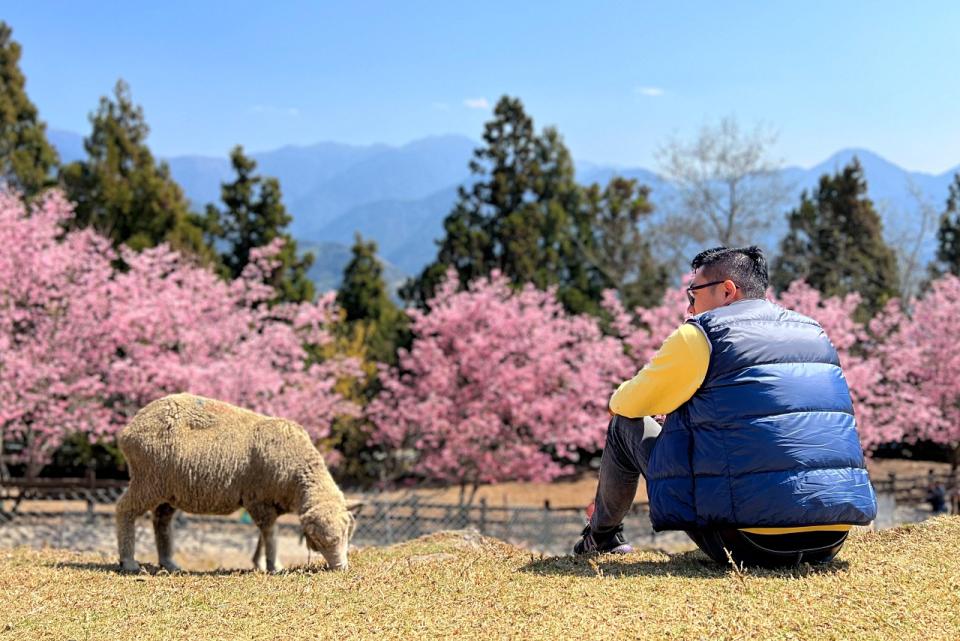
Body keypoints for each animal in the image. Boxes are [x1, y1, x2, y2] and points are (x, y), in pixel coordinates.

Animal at [116, 392, 356, 572]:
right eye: (317, 538)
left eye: (346, 532)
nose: (339, 568)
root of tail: (131, 427)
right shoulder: (258, 500)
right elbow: (270, 534)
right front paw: (274, 566)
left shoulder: (268, 503)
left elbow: (264, 536)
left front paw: (260, 563)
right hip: (147, 480)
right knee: (125, 509)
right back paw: (128, 562)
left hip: (168, 489)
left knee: (161, 521)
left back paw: (169, 563)